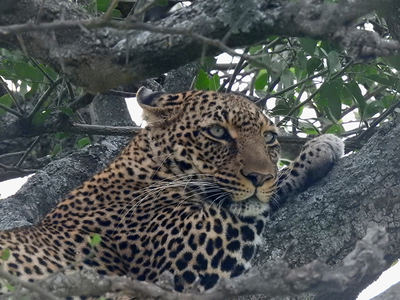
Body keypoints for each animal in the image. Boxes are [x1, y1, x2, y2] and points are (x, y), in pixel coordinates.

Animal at [0, 87, 344, 298]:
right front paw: (318, 149)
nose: (260, 176)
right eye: (217, 132)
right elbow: (245, 201)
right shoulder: (180, 259)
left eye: (270, 137)